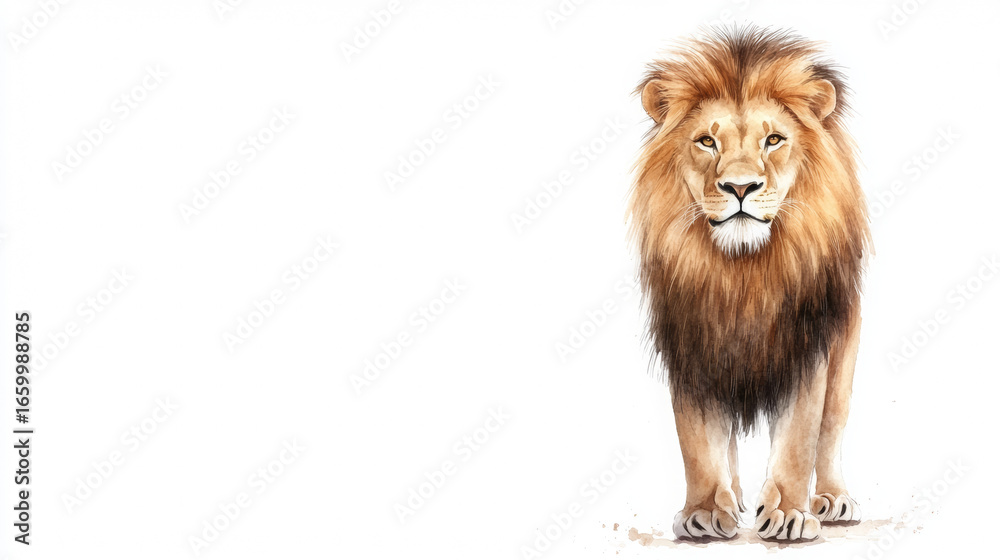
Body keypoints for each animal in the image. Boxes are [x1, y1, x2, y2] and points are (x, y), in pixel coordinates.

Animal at [629, 27, 871, 541]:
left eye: (774, 139)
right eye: (706, 141)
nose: (740, 188)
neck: (743, 273)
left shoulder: (806, 344)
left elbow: (800, 437)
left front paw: (788, 513)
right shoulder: (692, 342)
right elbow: (698, 441)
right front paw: (703, 510)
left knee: (832, 425)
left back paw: (832, 499)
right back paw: (733, 498)